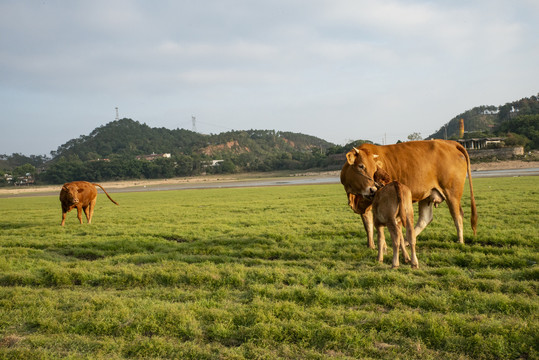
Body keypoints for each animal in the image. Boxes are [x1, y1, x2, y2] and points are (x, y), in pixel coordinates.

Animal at [344, 139, 478, 246]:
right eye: (361, 166)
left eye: (375, 168)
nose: (373, 189)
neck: (355, 195)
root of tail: (448, 142)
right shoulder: (364, 203)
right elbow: (368, 225)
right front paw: (370, 246)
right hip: (428, 195)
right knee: (425, 219)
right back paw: (407, 241)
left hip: (452, 193)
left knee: (457, 215)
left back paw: (460, 240)